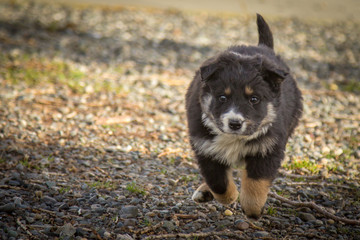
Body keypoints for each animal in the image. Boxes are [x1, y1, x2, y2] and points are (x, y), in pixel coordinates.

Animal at [184, 13, 302, 219]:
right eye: (222, 97)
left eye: (254, 99)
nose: (235, 123)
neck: (233, 138)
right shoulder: (205, 148)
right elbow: (219, 182)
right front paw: (231, 197)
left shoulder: (268, 148)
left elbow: (256, 183)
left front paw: (253, 210)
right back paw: (205, 191)